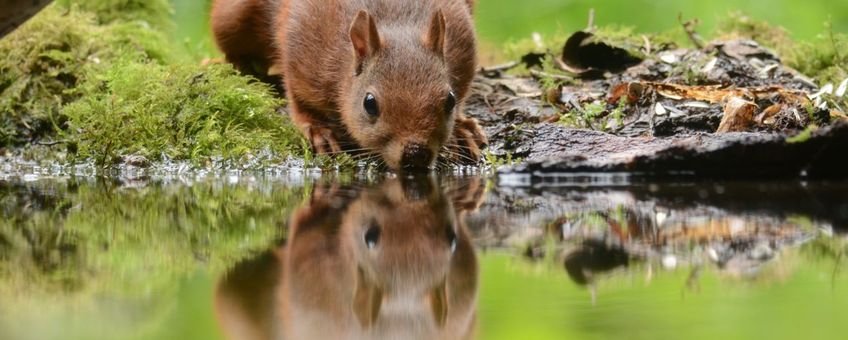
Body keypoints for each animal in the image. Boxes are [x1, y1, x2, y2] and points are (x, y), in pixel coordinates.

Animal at [210, 0, 484, 170]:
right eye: (369, 104)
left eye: (450, 100)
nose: (416, 154)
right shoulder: (301, 58)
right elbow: (298, 99)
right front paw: (318, 131)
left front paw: (461, 129)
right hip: (233, 19)